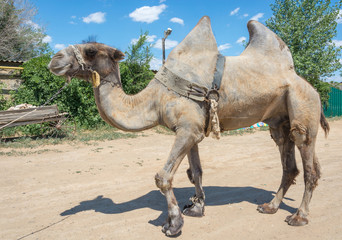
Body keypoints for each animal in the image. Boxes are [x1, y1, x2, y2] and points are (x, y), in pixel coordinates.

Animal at [48, 16, 328, 236]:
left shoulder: (187, 130)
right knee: (289, 163)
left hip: (303, 107)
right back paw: (270, 207)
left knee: (309, 162)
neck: (156, 99)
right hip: (279, 121)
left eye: (91, 50)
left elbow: (163, 176)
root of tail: (310, 86)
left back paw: (299, 216)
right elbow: (196, 172)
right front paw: (196, 208)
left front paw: (173, 223)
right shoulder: (191, 131)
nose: (54, 59)